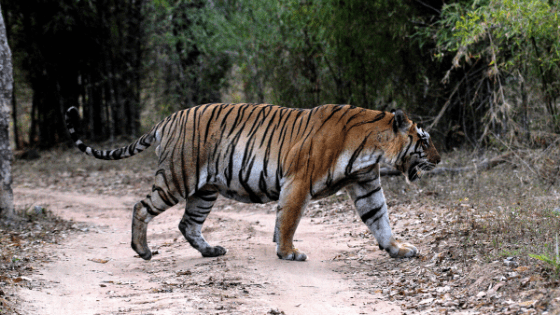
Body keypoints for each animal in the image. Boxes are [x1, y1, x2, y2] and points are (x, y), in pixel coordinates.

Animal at [65, 103, 440, 262]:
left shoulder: (365, 184)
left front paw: (398, 249)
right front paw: (288, 252)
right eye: (424, 141)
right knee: (141, 206)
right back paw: (142, 251)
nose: (439, 159)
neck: (372, 151)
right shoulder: (298, 181)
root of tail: (167, 119)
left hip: (205, 190)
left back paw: (210, 251)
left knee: (188, 224)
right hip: (177, 177)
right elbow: (288, 220)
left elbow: (380, 219)